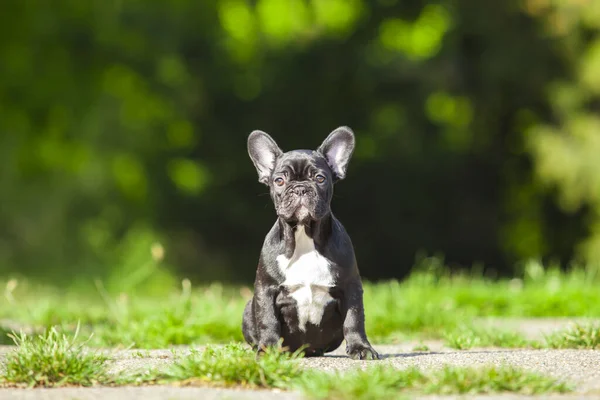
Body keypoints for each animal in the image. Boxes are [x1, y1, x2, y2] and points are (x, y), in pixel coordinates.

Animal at [240, 127, 378, 360]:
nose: (300, 188)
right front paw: (267, 350)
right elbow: (268, 320)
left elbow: (354, 319)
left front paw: (361, 348)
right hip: (249, 308)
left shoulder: (350, 287)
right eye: (279, 181)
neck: (304, 237)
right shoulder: (265, 290)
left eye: (320, 178)